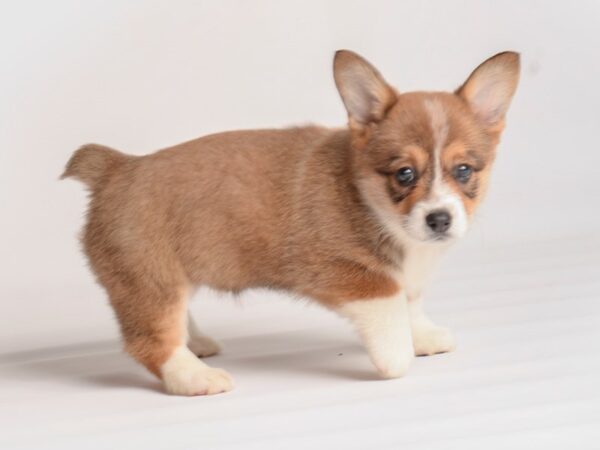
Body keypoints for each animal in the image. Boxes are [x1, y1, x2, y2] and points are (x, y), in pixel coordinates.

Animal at [62, 48, 520, 394]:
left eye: (463, 171)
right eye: (404, 174)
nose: (439, 219)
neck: (364, 193)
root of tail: (116, 168)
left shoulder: (404, 276)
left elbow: (411, 303)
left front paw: (423, 336)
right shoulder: (347, 273)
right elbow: (390, 305)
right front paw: (396, 358)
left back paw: (197, 344)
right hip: (149, 281)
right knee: (151, 341)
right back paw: (196, 377)